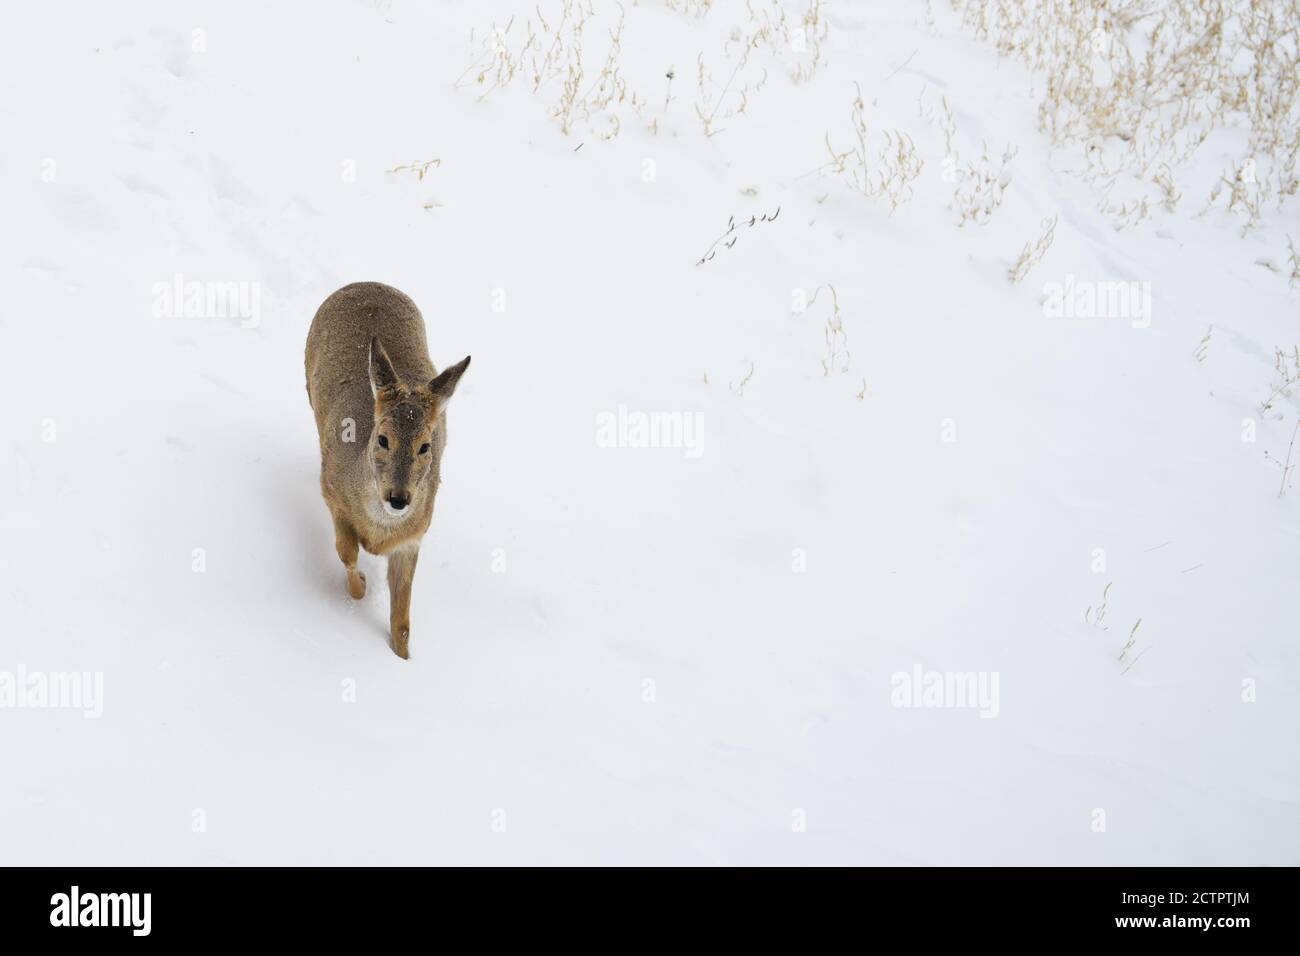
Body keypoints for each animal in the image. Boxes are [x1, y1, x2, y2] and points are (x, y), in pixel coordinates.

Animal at [302, 280, 467, 660]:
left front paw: (402, 660)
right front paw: (360, 587)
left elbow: (402, 619)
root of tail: (367, 283)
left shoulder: (414, 537)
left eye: (426, 446)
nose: (399, 498)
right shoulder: (330, 491)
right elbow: (346, 552)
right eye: (382, 439)